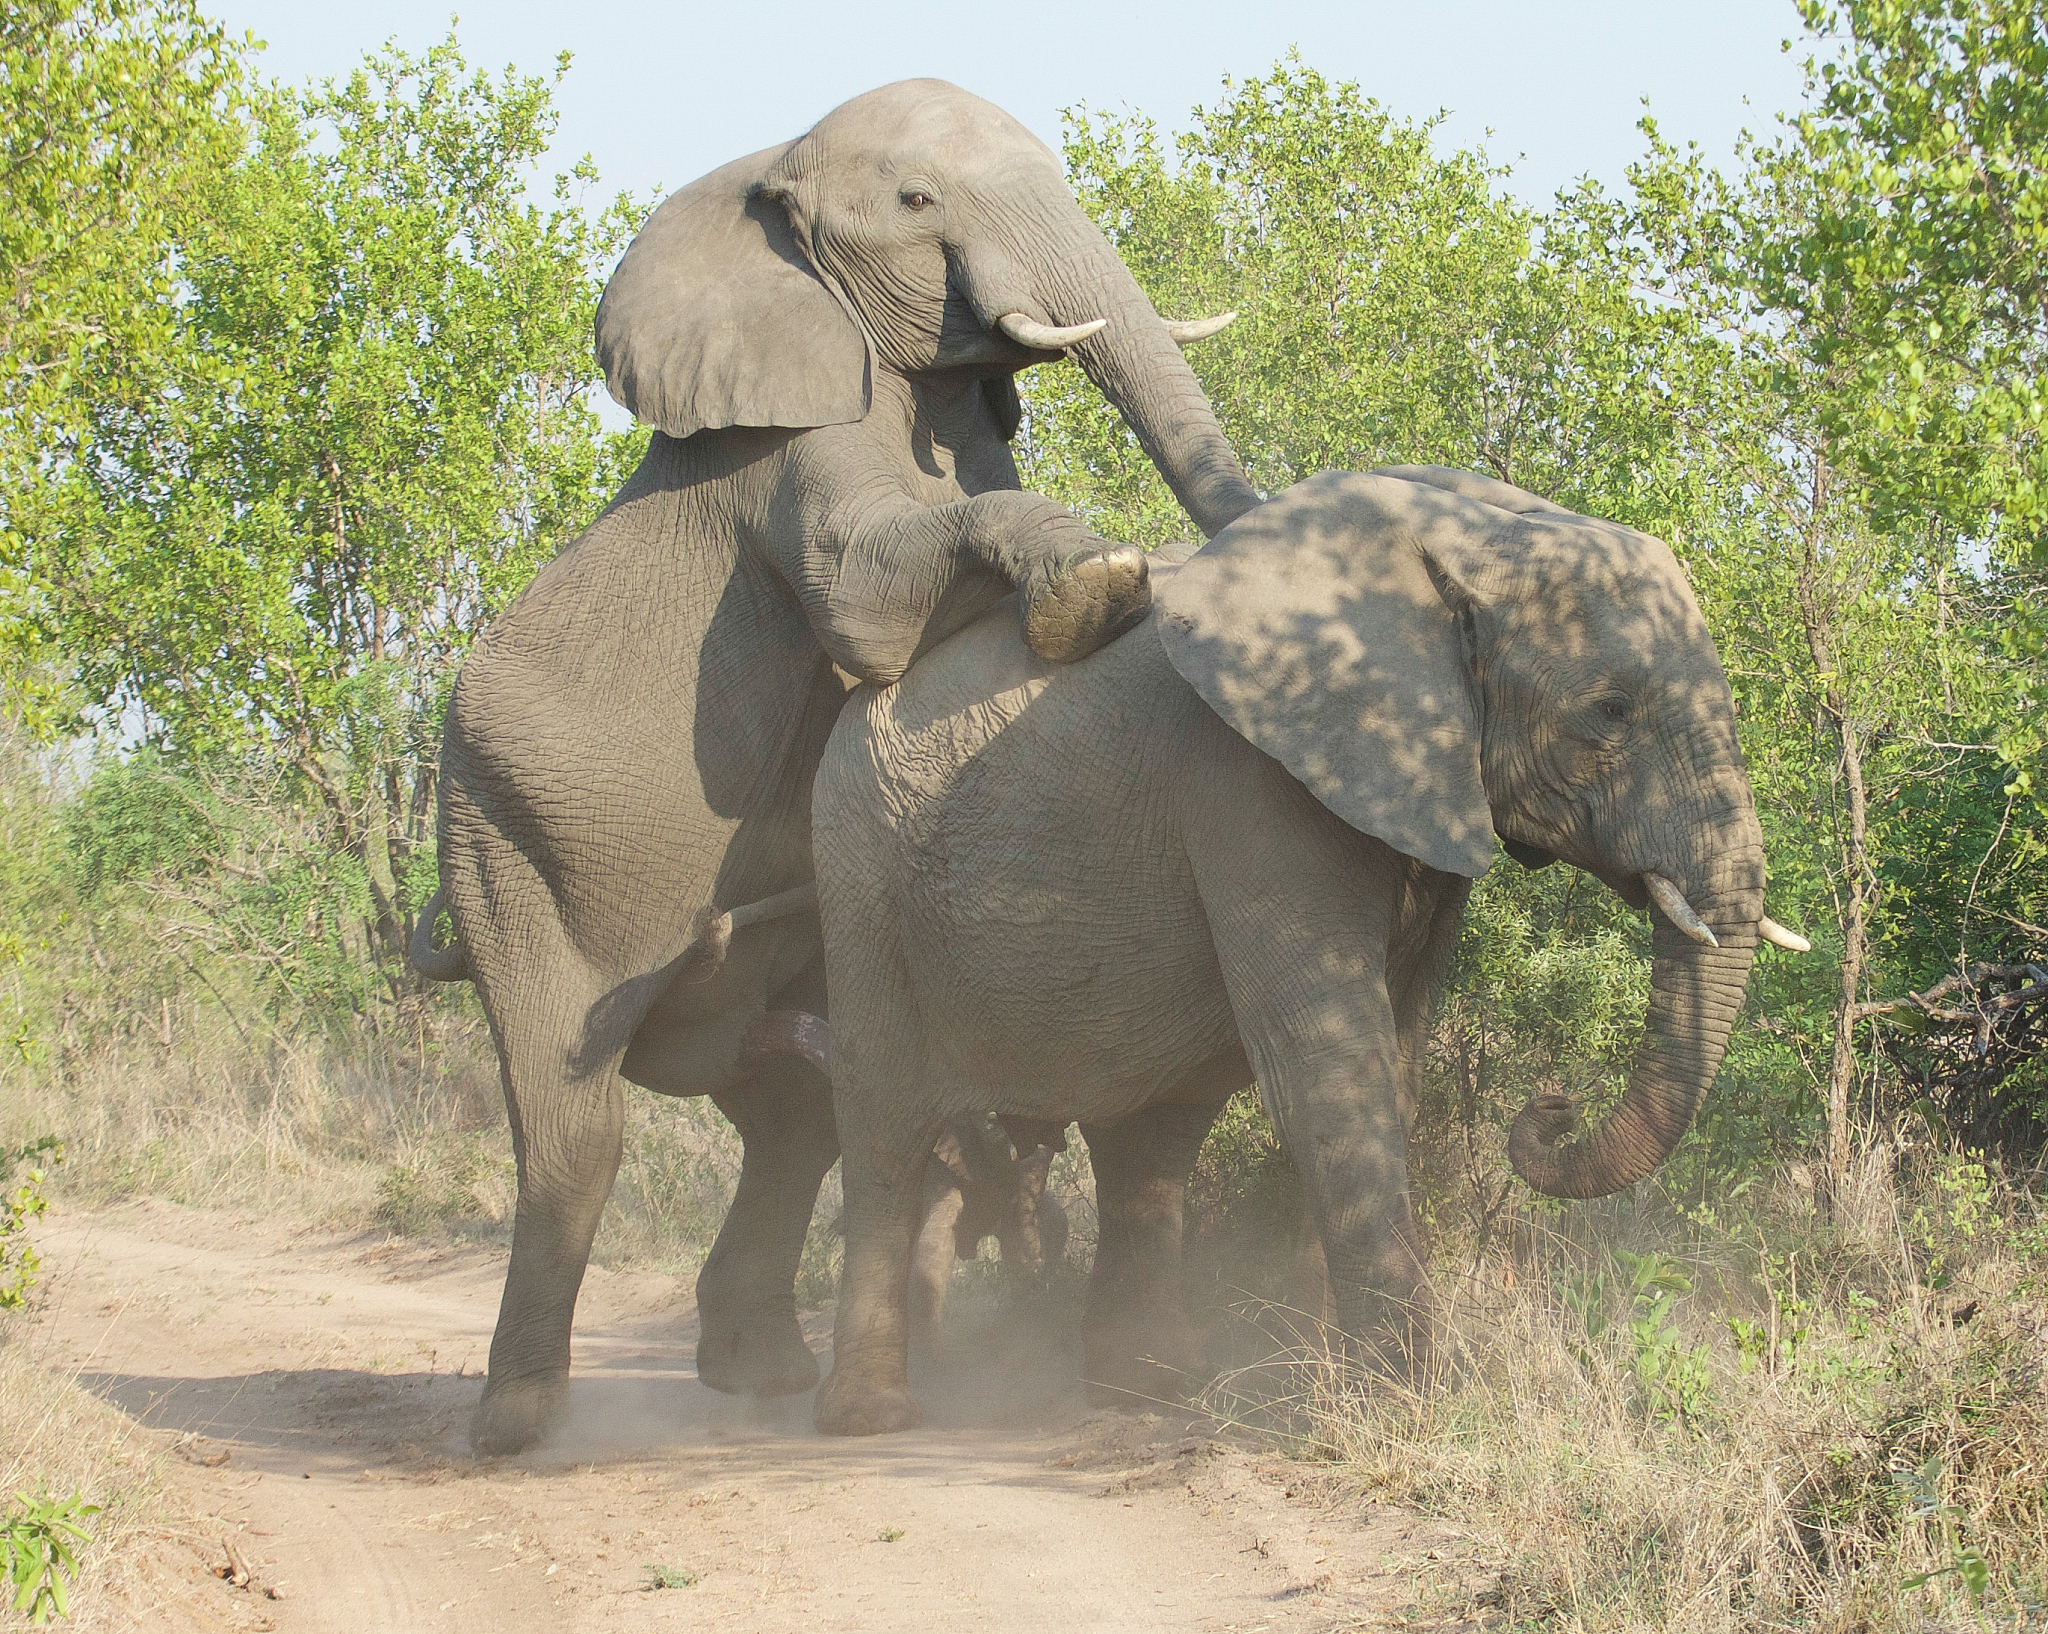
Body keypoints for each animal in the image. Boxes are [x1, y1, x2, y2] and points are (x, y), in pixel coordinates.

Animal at [415, 77, 1260, 1454]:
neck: (765, 179)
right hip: (503, 844)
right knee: (575, 1125)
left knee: (790, 1117)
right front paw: (1096, 585)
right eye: (915, 200)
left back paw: (756, 1374)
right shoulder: (787, 451)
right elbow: (867, 600)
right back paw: (518, 1429)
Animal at [794, 464, 1811, 1435]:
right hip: (859, 878)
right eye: (1611, 711)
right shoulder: (1248, 777)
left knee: (1149, 1140)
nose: (1553, 1109)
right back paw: (874, 1419)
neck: (1451, 544)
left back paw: (1149, 1389)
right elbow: (1329, 1062)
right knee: (884, 1132)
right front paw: (1401, 1406)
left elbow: (1392, 1061)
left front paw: (1345, 1388)